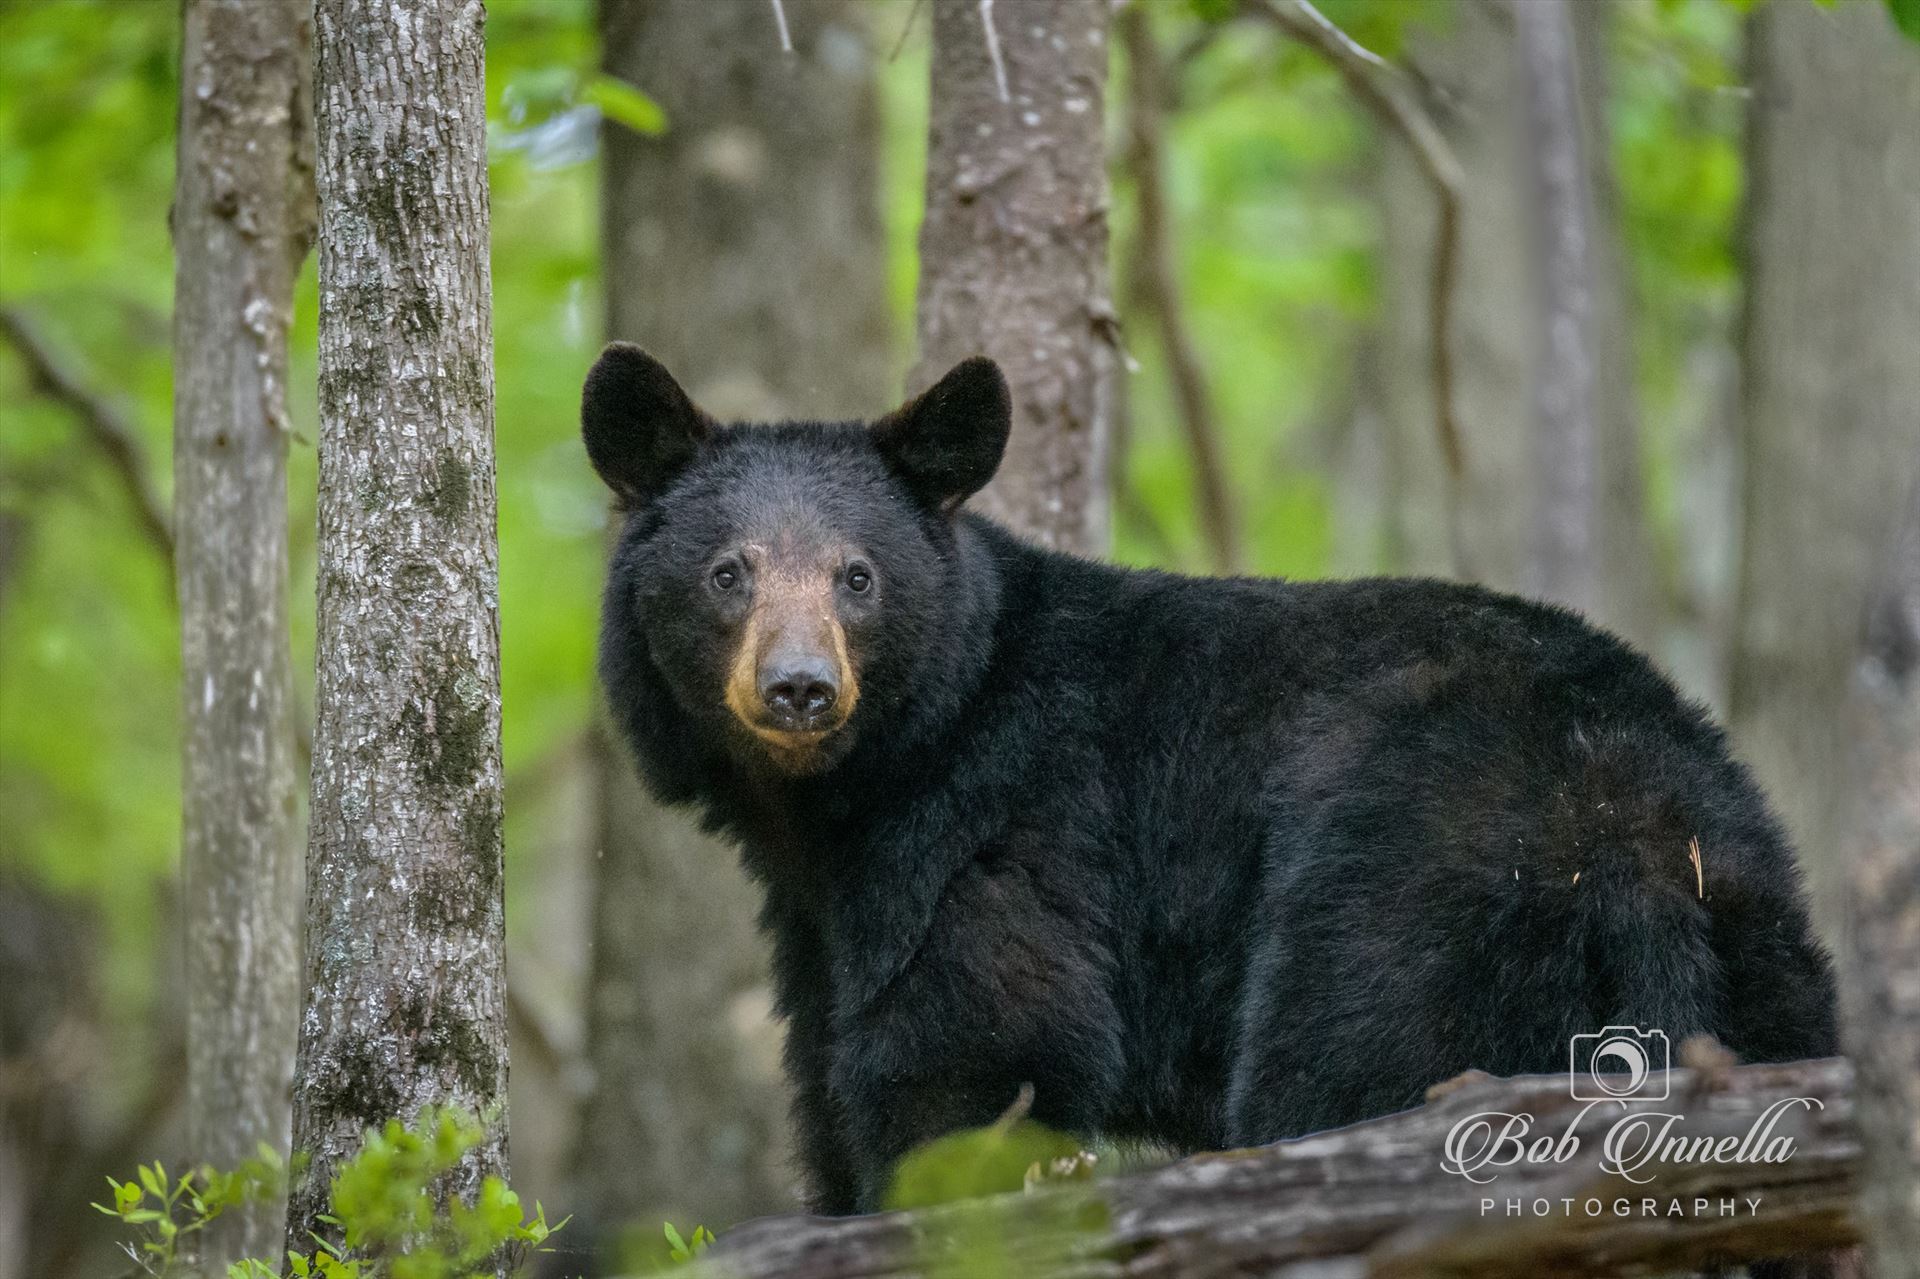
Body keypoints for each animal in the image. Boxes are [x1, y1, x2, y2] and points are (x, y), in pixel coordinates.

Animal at [576, 341, 1835, 1213]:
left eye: (856, 576)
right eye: (729, 572)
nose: (798, 688)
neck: (843, 801)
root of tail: (1633, 829)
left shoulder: (1002, 821)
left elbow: (978, 1046)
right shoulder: (816, 911)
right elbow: (830, 1081)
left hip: (1414, 895)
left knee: (1343, 1070)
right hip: (1755, 937)